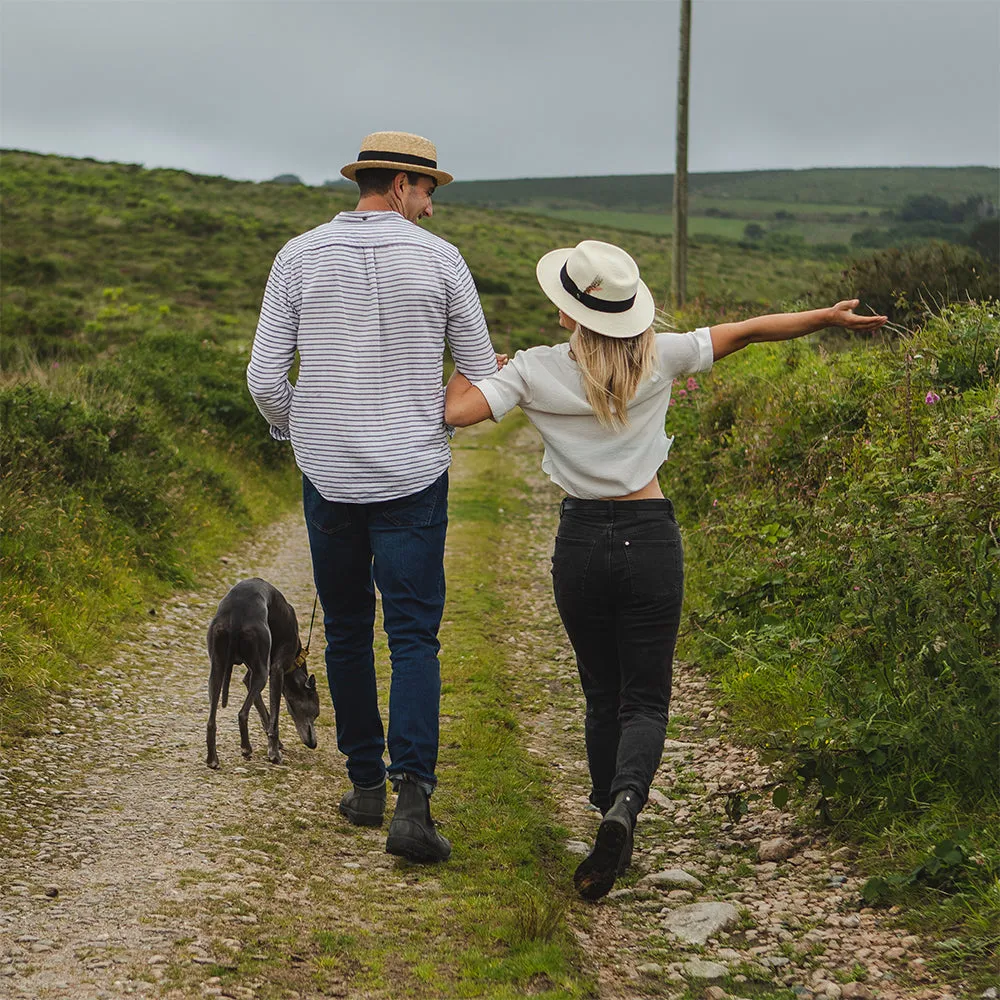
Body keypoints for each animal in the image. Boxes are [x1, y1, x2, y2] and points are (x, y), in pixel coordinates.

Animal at [207, 576, 320, 768]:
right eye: (316, 713)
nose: (314, 744)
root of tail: (236, 614)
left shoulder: (251, 676)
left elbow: (263, 710)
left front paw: (277, 744)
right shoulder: (276, 671)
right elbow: (273, 718)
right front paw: (274, 752)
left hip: (218, 668)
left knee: (211, 720)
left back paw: (212, 759)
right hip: (261, 672)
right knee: (242, 713)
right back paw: (246, 748)